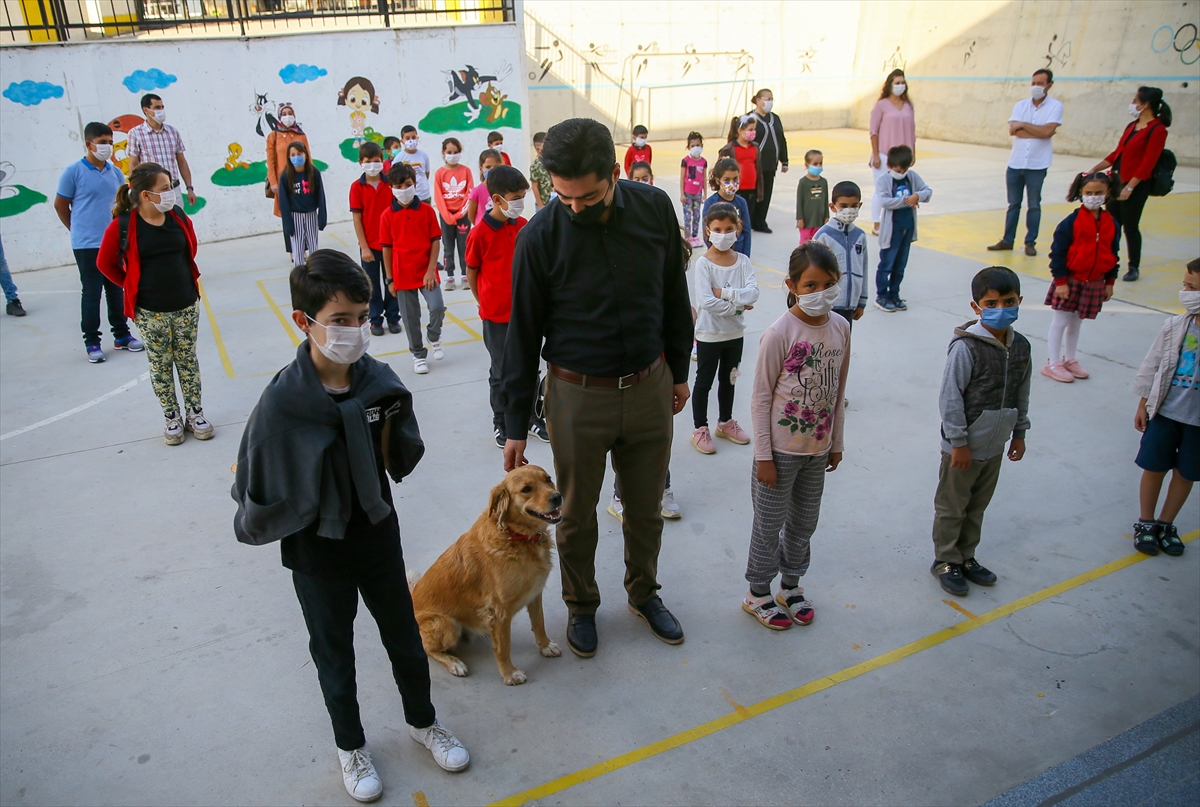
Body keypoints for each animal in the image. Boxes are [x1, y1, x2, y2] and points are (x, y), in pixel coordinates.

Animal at [410, 463, 564, 682]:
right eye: (526, 489)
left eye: (548, 479)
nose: (557, 497)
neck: (516, 536)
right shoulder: (499, 611)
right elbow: (503, 647)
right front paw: (509, 674)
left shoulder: (535, 594)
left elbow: (539, 623)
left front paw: (545, 646)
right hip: (446, 624)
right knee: (428, 649)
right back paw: (454, 663)